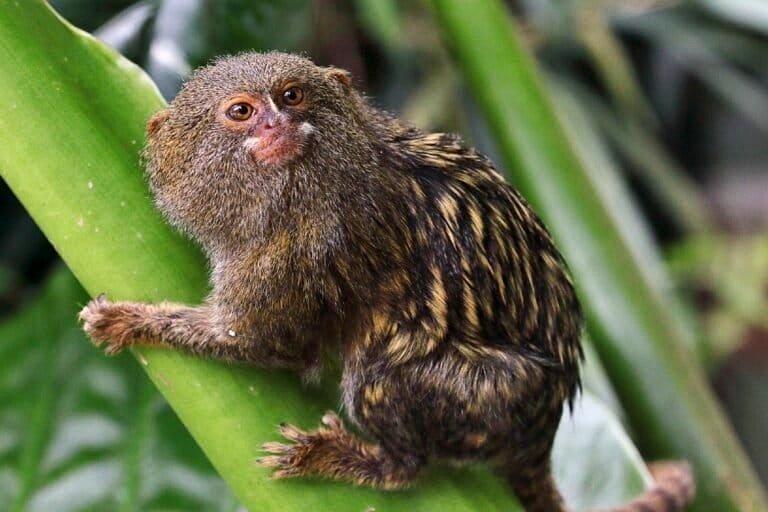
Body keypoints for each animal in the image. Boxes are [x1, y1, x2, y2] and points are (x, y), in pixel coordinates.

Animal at [79, 52, 695, 512]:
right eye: (241, 111)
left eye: (291, 96)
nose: (278, 124)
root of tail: (543, 431)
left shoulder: (303, 248)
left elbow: (261, 343)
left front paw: (131, 321)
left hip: (494, 396)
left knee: (383, 381)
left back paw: (370, 462)